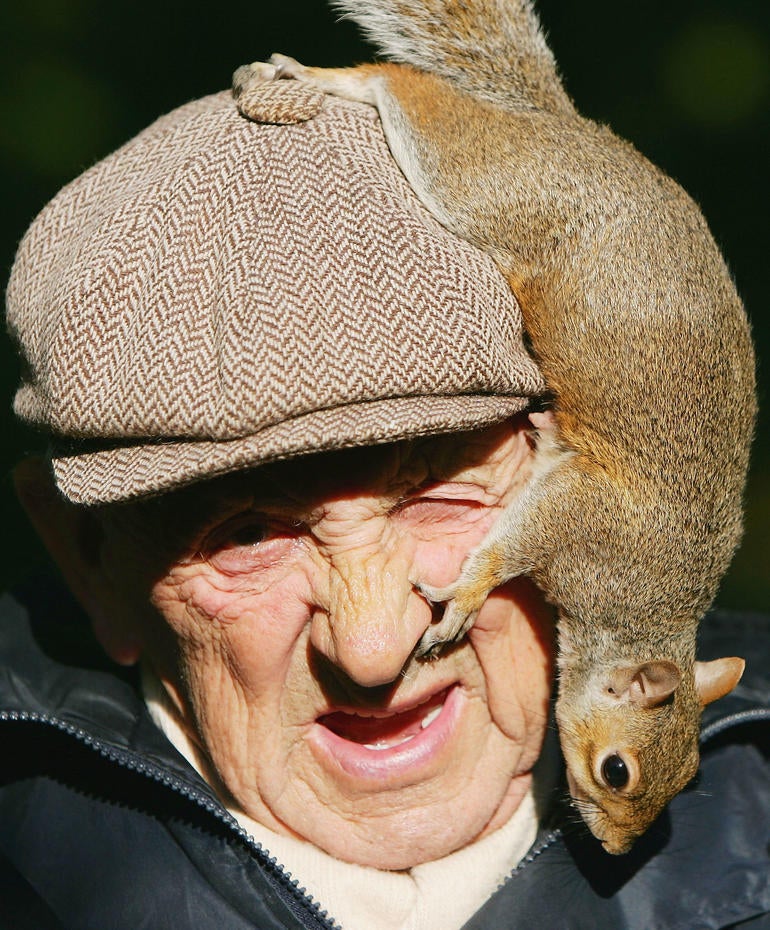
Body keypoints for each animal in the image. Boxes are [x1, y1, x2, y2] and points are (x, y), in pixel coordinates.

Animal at [232, 0, 757, 854]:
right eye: (618, 771)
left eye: (687, 780)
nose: (616, 850)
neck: (641, 608)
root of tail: (558, 123)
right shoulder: (577, 519)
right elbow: (505, 551)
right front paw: (465, 599)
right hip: (479, 184)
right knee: (403, 89)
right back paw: (323, 78)